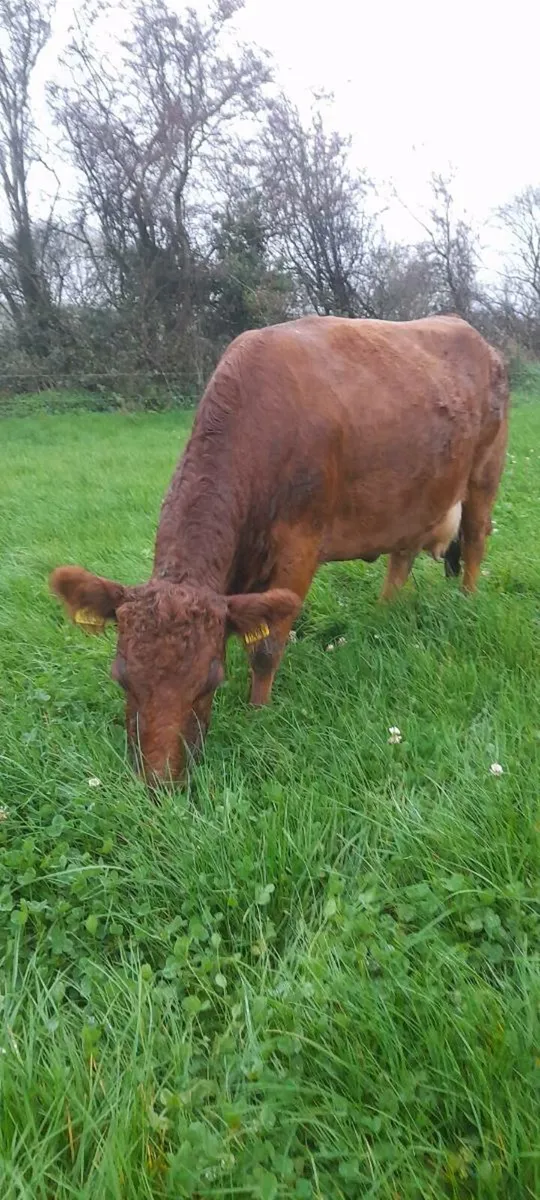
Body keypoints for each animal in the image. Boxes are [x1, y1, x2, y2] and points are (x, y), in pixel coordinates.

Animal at [50, 314, 508, 786]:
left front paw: (257, 714)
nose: (160, 782)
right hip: (414, 495)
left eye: (210, 681)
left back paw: (467, 601)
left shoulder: (299, 548)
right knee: (403, 555)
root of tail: (470, 332)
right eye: (122, 677)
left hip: (485, 471)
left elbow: (267, 647)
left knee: (475, 539)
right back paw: (384, 612)